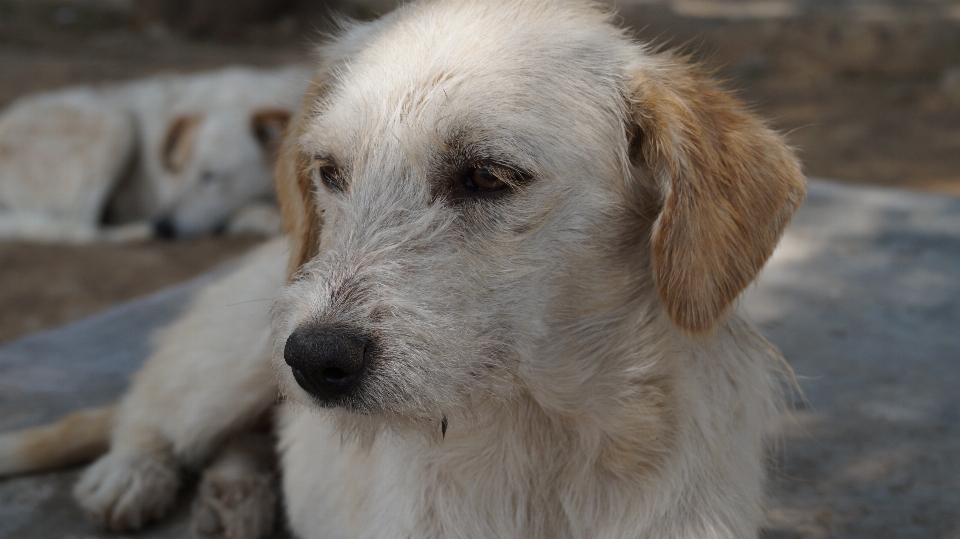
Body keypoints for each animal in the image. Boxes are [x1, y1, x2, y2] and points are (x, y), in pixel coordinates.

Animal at [0, 66, 310, 244]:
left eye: (211, 177)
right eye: (174, 169)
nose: (162, 227)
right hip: (116, 122)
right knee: (83, 225)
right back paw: (134, 232)